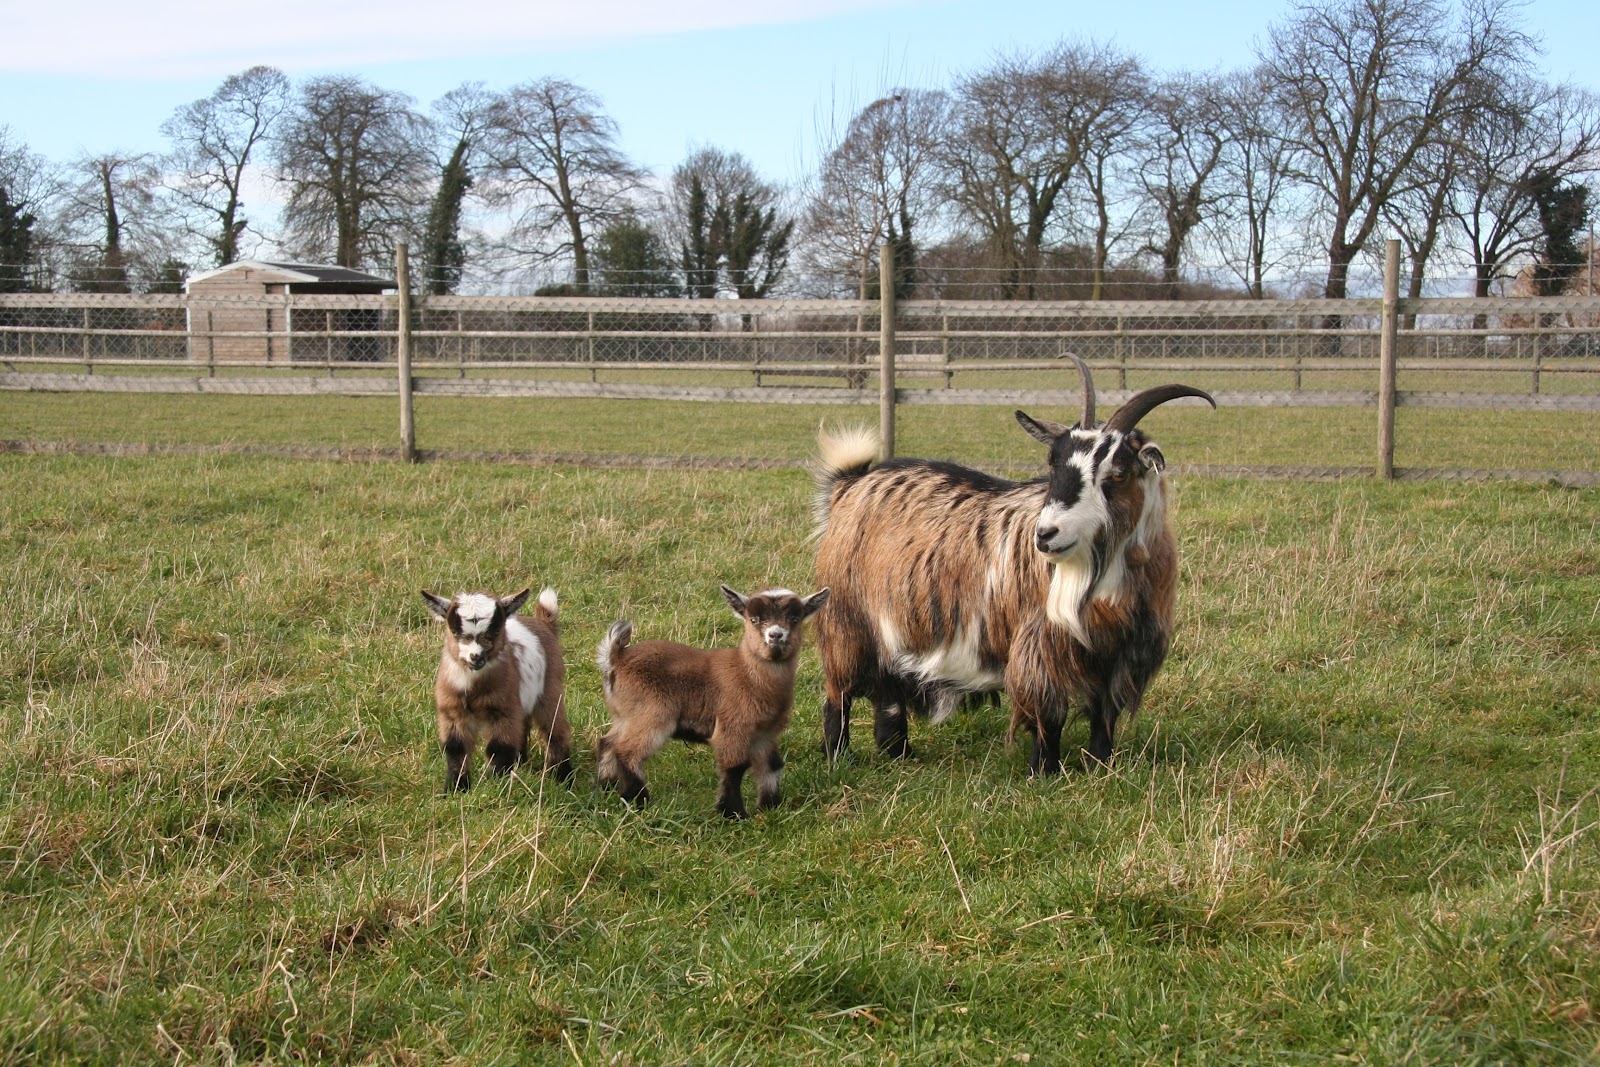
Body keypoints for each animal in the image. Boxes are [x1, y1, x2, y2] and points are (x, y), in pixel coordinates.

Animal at [419, 586, 572, 792]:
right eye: (454, 631)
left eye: (497, 630)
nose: (476, 657)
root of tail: (544, 623)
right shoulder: (452, 710)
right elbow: (455, 748)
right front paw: (455, 789)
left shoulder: (503, 710)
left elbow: (499, 747)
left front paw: (496, 786)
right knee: (524, 727)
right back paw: (521, 763)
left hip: (551, 688)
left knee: (555, 730)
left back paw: (563, 779)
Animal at [595, 585, 829, 818]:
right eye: (754, 619)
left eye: (795, 618)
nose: (776, 635)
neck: (747, 673)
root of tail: (616, 657)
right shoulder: (733, 726)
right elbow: (735, 766)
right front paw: (733, 813)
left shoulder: (765, 733)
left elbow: (771, 766)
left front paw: (770, 807)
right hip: (652, 713)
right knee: (627, 751)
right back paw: (638, 800)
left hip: (624, 715)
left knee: (608, 742)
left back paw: (605, 788)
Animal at [811, 356, 1213, 772]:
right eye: (1053, 465)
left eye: (1117, 474)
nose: (1046, 534)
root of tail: (850, 484)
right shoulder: (1039, 644)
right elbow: (1050, 715)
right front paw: (1044, 770)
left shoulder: (1119, 657)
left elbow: (1105, 716)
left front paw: (1100, 767)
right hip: (847, 622)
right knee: (838, 694)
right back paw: (837, 756)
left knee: (887, 693)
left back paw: (900, 753)